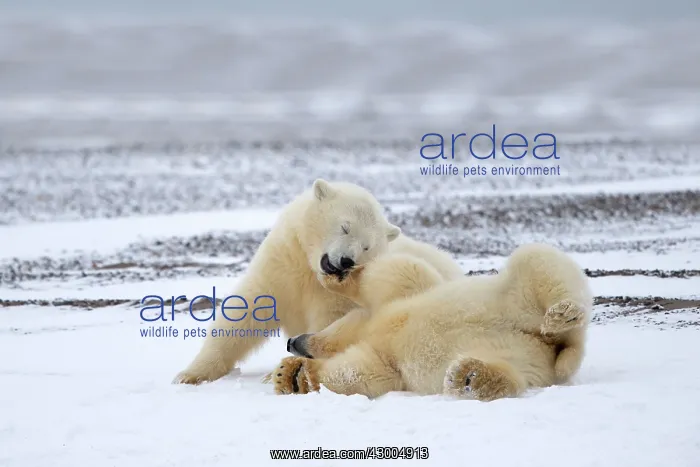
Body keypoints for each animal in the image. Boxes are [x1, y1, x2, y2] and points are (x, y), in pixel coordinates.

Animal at [173, 179, 464, 384]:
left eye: (367, 246)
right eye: (345, 227)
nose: (346, 260)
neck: (310, 270)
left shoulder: (333, 295)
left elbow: (329, 322)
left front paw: (278, 371)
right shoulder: (282, 263)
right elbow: (247, 310)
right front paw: (190, 374)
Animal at [273, 243, 592, 401]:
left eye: (321, 328)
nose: (291, 341)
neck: (372, 328)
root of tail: (557, 346)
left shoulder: (396, 300)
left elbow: (400, 271)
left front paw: (335, 274)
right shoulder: (384, 357)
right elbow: (365, 374)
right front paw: (293, 377)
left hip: (514, 298)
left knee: (537, 259)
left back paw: (563, 314)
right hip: (528, 361)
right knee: (513, 375)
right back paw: (469, 376)